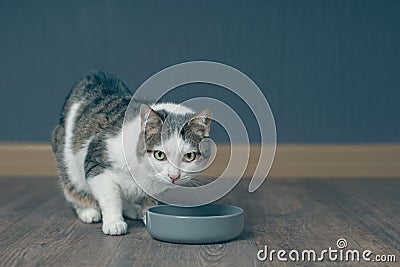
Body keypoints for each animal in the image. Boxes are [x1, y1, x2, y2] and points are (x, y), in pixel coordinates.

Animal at [52, 71, 214, 237]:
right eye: (159, 155)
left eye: (189, 156)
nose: (174, 176)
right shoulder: (97, 165)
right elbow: (110, 197)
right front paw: (114, 222)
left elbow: (149, 201)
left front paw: (146, 214)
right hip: (68, 163)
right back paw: (88, 210)